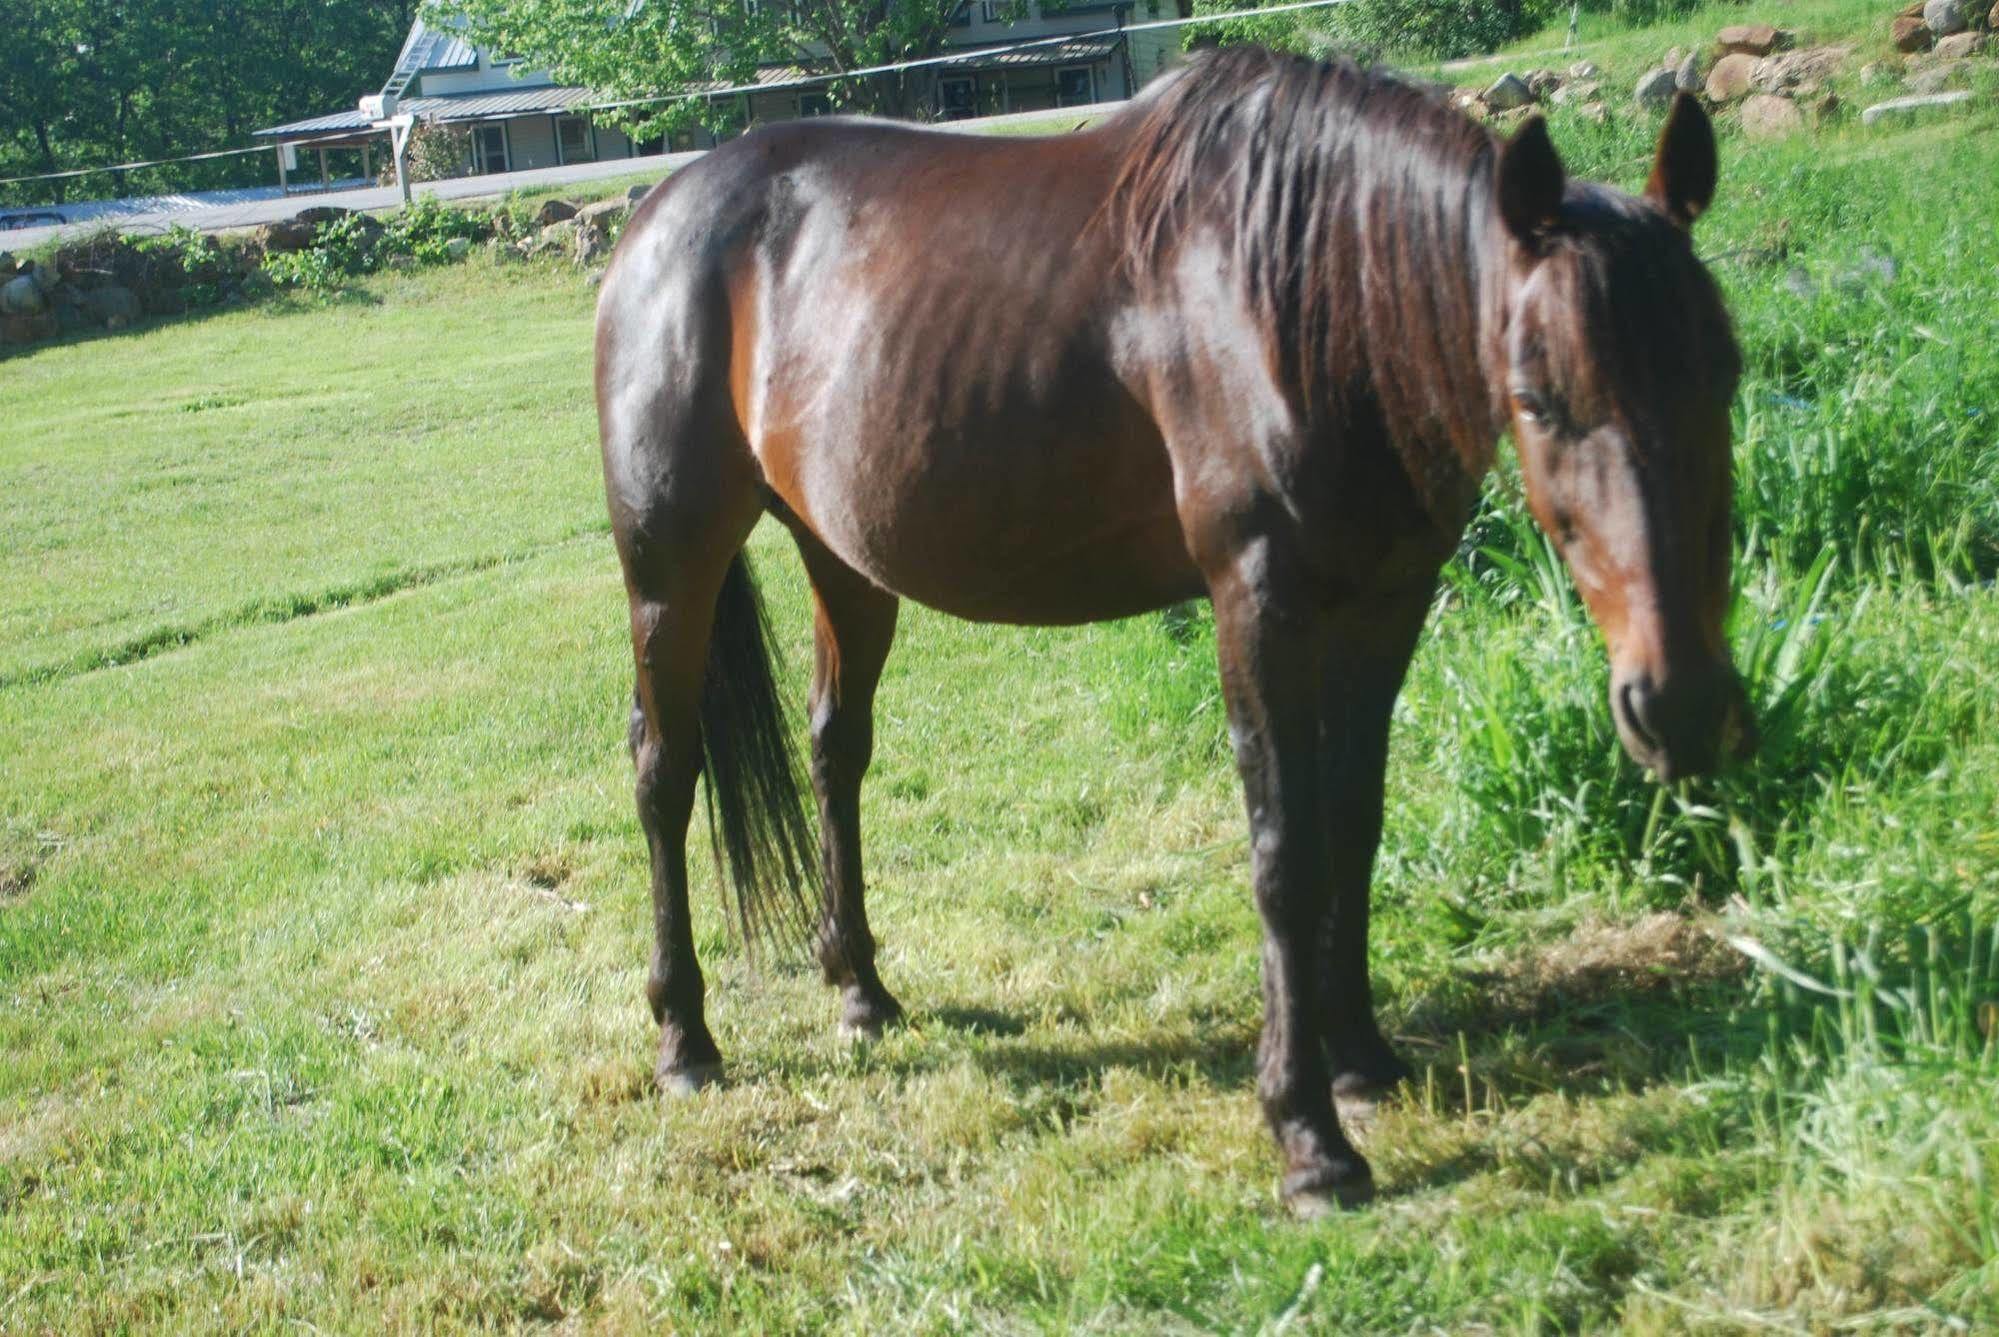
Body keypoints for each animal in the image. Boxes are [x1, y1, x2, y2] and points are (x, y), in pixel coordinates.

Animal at [591, 49, 1751, 1207]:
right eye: (1536, 394)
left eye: (1724, 374)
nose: (1682, 705)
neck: (1310, 295)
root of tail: (657, 216)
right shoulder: (1257, 598)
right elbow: (1284, 847)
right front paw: (1307, 1134)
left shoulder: (1385, 604)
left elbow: (1352, 822)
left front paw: (1360, 1054)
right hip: (669, 569)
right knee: (663, 772)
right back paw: (686, 1038)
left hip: (843, 555)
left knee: (835, 750)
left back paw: (861, 989)